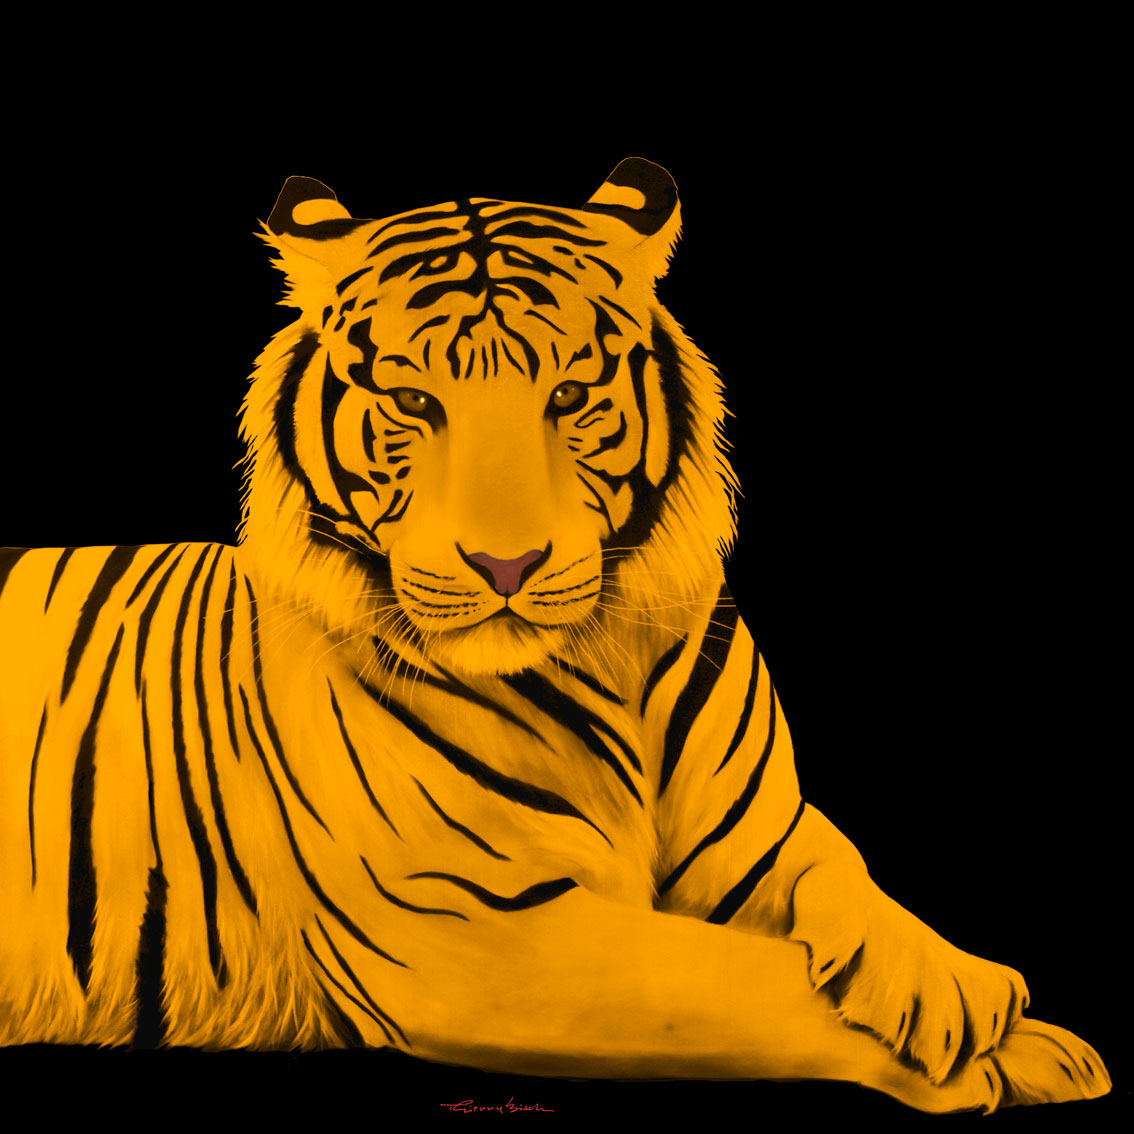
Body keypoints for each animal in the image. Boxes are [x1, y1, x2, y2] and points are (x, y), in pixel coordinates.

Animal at [0, 158, 1111, 1114]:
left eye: (570, 396)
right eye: (413, 400)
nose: (507, 567)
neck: (612, 660)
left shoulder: (757, 837)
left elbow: (844, 871)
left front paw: (961, 989)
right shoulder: (469, 932)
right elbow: (749, 978)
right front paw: (987, 1052)